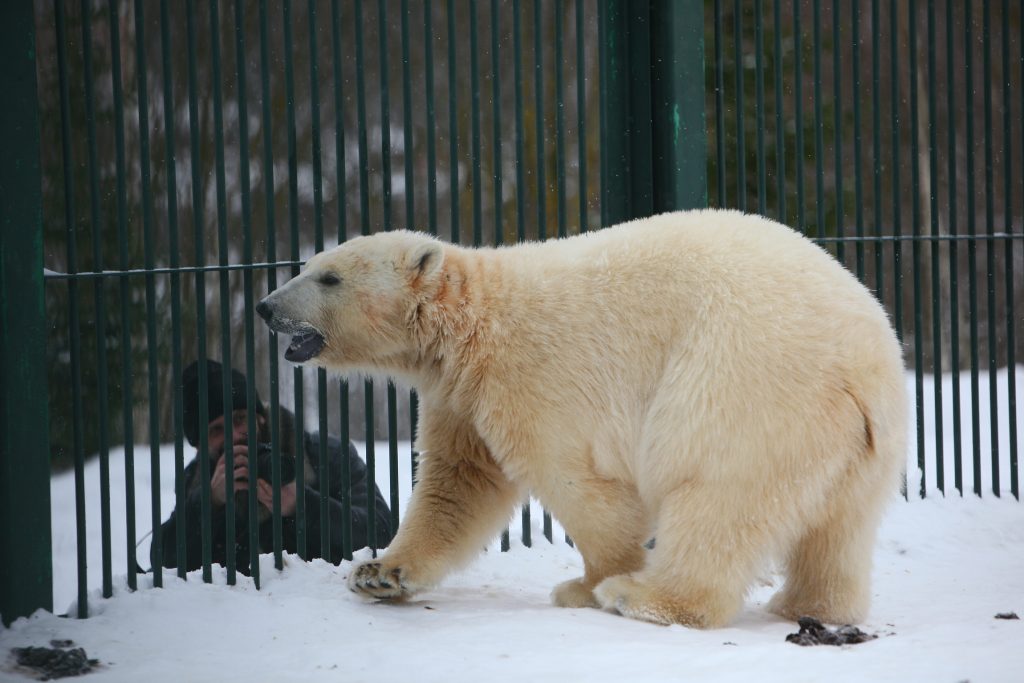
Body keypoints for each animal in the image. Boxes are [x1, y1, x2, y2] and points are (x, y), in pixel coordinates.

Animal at [253, 209, 905, 630]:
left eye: (329, 276)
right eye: (309, 264)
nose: (264, 306)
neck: (471, 322)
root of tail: (863, 363)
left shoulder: (530, 375)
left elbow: (575, 481)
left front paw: (585, 586)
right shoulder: (458, 395)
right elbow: (457, 484)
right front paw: (379, 573)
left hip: (745, 387)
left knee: (717, 498)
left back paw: (644, 596)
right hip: (865, 441)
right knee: (839, 528)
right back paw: (808, 606)